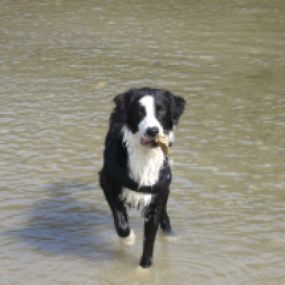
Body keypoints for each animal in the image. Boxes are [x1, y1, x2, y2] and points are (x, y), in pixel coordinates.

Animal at [98, 86, 185, 266]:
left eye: (161, 110)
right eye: (139, 111)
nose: (153, 131)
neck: (145, 156)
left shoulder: (158, 193)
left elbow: (150, 238)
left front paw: (145, 267)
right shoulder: (107, 182)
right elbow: (121, 222)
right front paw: (128, 239)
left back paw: (170, 233)